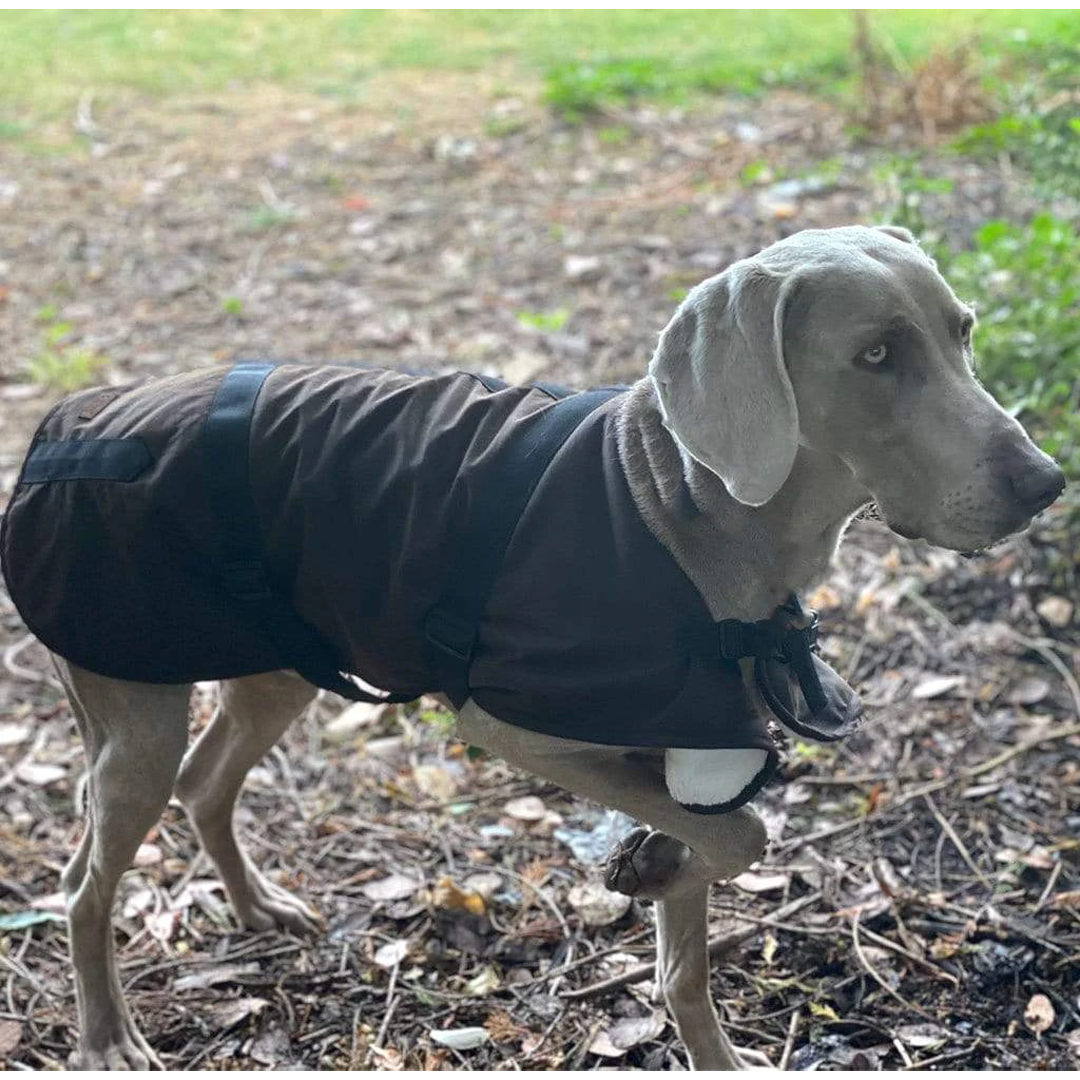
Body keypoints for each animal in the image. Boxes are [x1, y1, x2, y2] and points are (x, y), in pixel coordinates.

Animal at [1, 225, 1064, 1069]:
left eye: (964, 332)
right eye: (877, 354)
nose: (1047, 481)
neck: (683, 510)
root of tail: (65, 426)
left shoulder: (696, 747)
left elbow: (693, 942)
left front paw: (667, 904)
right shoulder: (513, 725)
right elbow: (746, 837)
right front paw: (647, 864)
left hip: (274, 671)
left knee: (204, 784)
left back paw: (260, 909)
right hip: (133, 704)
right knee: (87, 886)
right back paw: (107, 1037)